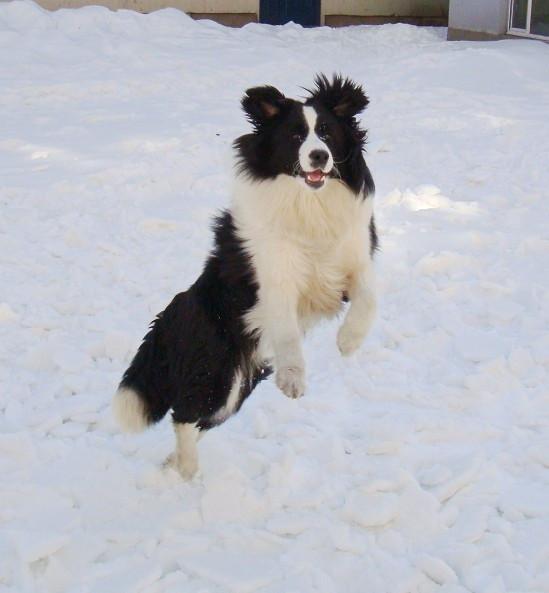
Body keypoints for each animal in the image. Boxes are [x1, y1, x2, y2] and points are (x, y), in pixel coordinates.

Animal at [111, 75, 376, 476]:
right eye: (296, 135)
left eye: (327, 133)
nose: (319, 156)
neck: (309, 203)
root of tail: (170, 314)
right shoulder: (273, 275)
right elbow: (287, 331)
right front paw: (293, 379)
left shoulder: (356, 258)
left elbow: (368, 299)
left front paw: (348, 342)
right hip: (215, 368)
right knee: (184, 413)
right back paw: (186, 468)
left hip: (240, 383)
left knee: (198, 419)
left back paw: (175, 461)